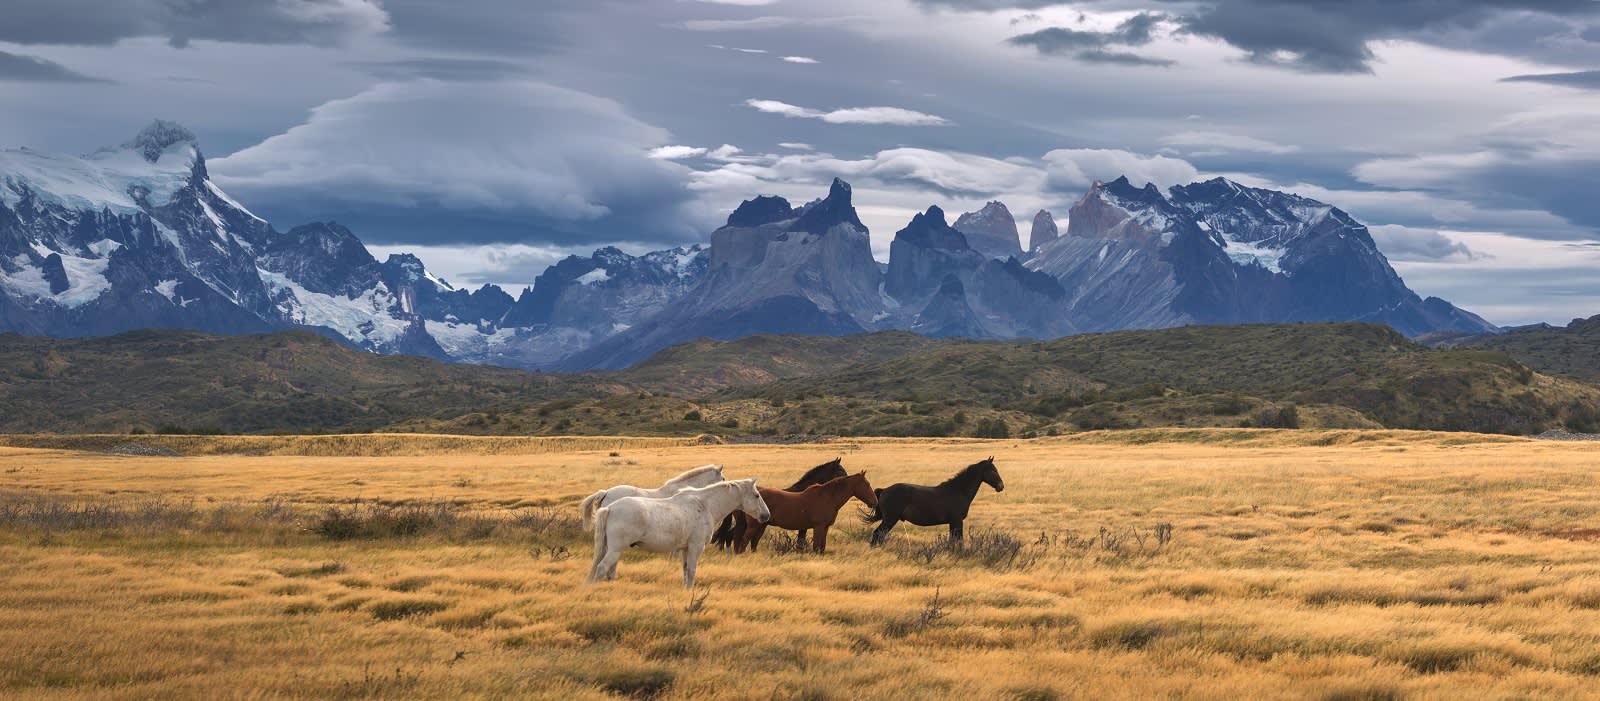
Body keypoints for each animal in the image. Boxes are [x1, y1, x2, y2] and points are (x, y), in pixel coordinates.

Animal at [585, 480, 771, 588]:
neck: (705, 505)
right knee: (602, 568)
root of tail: (610, 508)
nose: (766, 515)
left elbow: (685, 570)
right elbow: (692, 571)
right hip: (615, 549)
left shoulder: (685, 549)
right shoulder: (696, 547)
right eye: (757, 495)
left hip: (610, 548)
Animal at [732, 470, 883, 553]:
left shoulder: (825, 528)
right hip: (754, 525)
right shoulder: (818, 527)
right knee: (744, 541)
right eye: (867, 484)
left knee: (754, 542)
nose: (875, 502)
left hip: (762, 525)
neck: (827, 497)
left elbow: (822, 547)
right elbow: (816, 547)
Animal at [864, 454, 998, 547]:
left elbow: (953, 540)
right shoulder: (957, 521)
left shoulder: (953, 522)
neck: (958, 490)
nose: (1000, 486)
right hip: (890, 519)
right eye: (993, 470)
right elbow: (958, 540)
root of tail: (885, 490)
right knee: (878, 534)